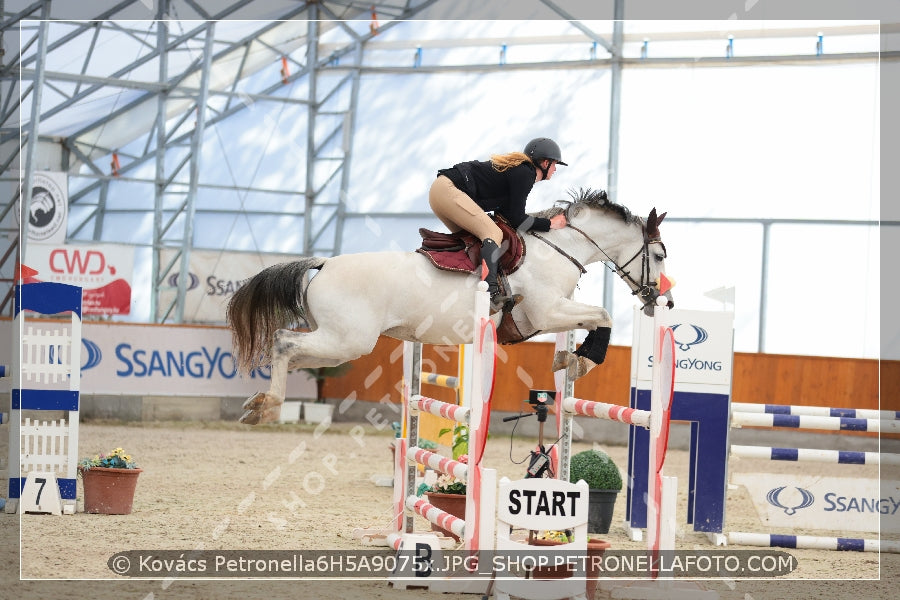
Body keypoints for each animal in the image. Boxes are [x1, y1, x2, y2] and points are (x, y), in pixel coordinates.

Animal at [229, 188, 672, 422]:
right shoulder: (547, 312)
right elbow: (603, 315)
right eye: (660, 254)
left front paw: (570, 359)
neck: (559, 246)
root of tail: (323, 263)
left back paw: (258, 402)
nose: (662, 299)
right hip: (347, 340)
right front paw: (581, 361)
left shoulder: (540, 321)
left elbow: (595, 318)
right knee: (284, 341)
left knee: (291, 350)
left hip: (338, 344)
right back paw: (268, 406)